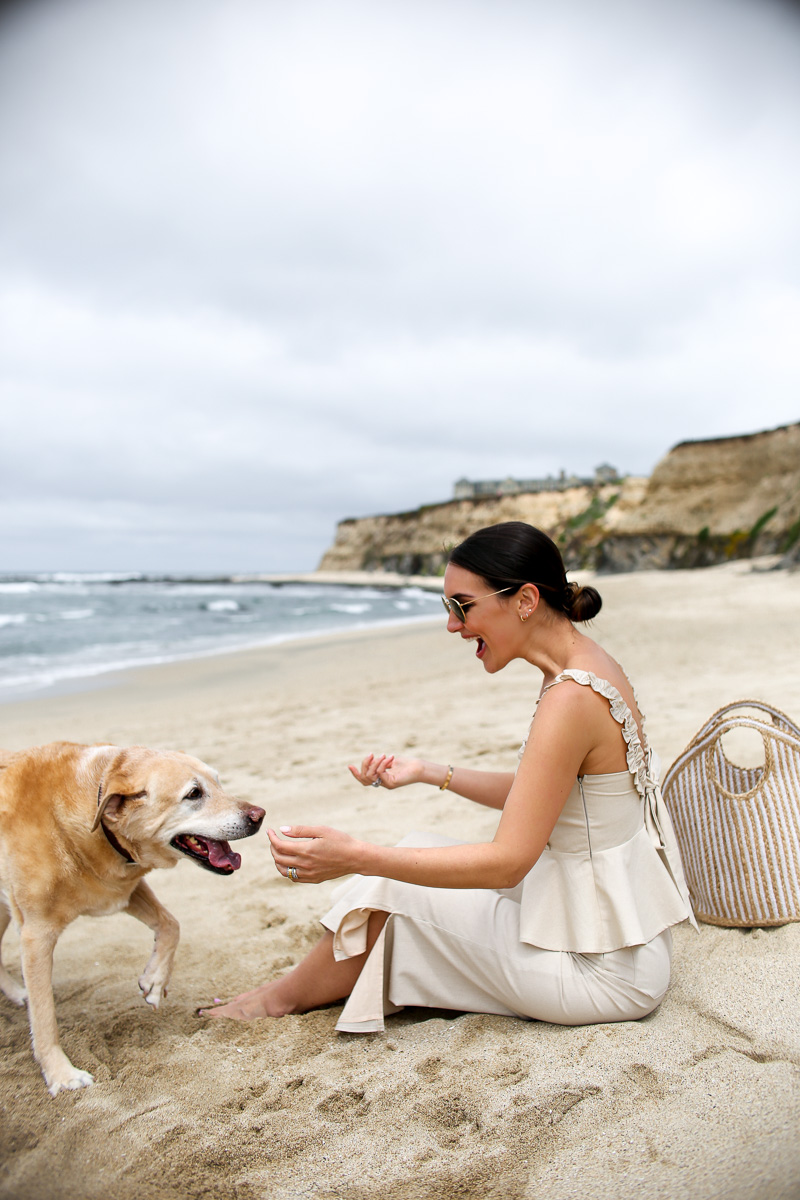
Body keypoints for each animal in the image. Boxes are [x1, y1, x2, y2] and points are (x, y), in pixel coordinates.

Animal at [0, 734, 266, 1094]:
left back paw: (16, 992)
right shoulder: (36, 934)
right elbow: (45, 1016)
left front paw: (154, 980)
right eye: (193, 794)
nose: (260, 815)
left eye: (218, 781)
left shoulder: (125, 890)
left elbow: (171, 924)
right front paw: (61, 1074)